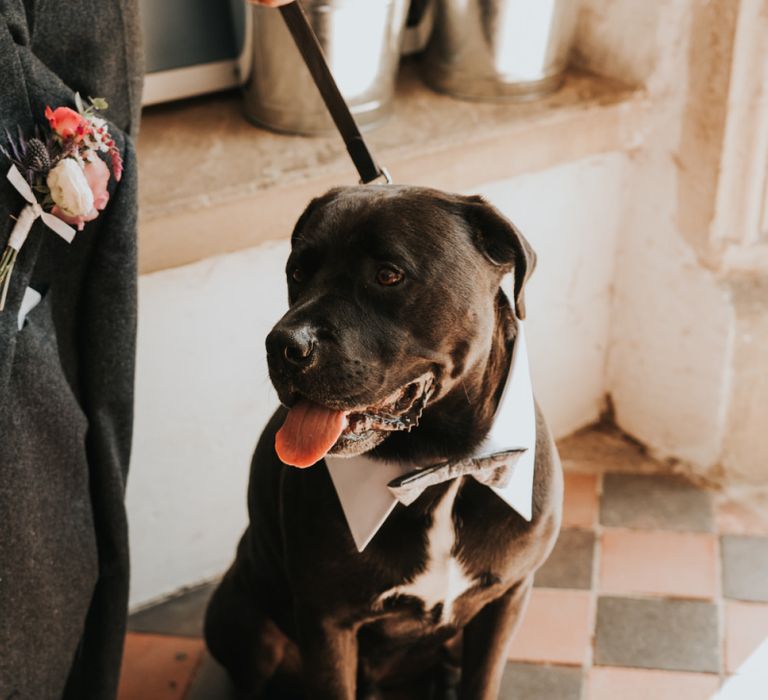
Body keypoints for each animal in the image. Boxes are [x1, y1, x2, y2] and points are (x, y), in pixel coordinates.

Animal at [206, 183, 564, 696]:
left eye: (388, 275)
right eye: (297, 272)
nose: (282, 346)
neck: (439, 465)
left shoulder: (506, 599)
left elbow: (483, 680)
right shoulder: (327, 621)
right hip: (244, 619)